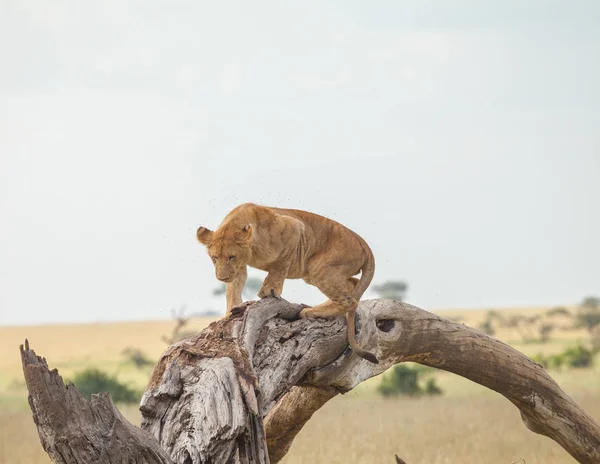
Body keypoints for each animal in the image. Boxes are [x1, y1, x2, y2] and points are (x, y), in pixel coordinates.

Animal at [195, 202, 378, 362]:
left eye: (231, 256)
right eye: (215, 257)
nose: (222, 278)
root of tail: (363, 243)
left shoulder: (294, 227)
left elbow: (280, 264)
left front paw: (269, 289)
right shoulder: (239, 268)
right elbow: (233, 291)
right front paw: (229, 313)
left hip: (318, 268)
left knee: (350, 301)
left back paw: (310, 312)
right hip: (316, 274)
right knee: (352, 285)